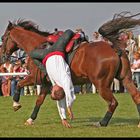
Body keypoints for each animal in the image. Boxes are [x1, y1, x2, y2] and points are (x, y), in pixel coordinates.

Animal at [0, 19, 140, 128]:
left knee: (113, 103)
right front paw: (30, 119)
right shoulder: (46, 83)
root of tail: (113, 48)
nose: (2, 56)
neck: (37, 45)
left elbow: (19, 84)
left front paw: (16, 104)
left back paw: (102, 123)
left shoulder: (35, 78)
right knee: (136, 96)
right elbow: (39, 101)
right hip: (126, 79)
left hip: (101, 84)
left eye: (2, 38)